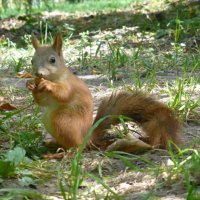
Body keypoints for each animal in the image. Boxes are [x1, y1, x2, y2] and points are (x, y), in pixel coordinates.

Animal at [26, 34, 181, 153]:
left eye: (52, 60)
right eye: (32, 60)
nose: (38, 73)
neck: (55, 77)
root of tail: (86, 138)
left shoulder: (70, 86)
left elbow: (63, 94)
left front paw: (47, 85)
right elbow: (41, 101)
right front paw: (30, 85)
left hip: (62, 121)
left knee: (76, 147)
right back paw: (53, 143)